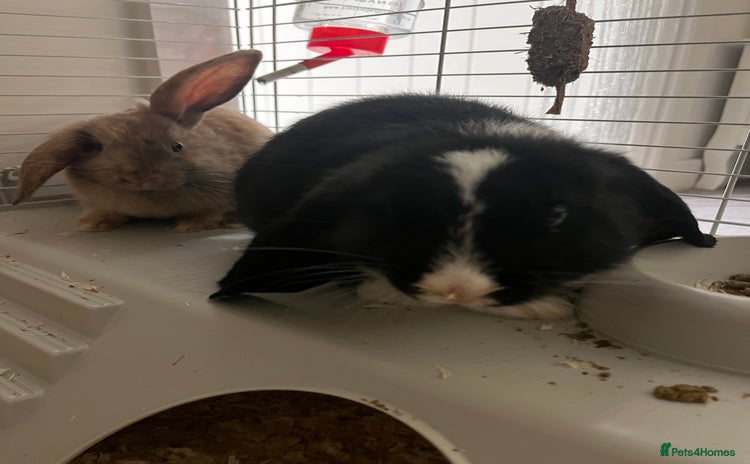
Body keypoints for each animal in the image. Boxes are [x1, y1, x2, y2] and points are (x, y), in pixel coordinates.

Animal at [13, 50, 272, 232]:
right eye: (98, 147)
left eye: (177, 146)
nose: (142, 178)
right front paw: (93, 224)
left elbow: (210, 213)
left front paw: (187, 226)